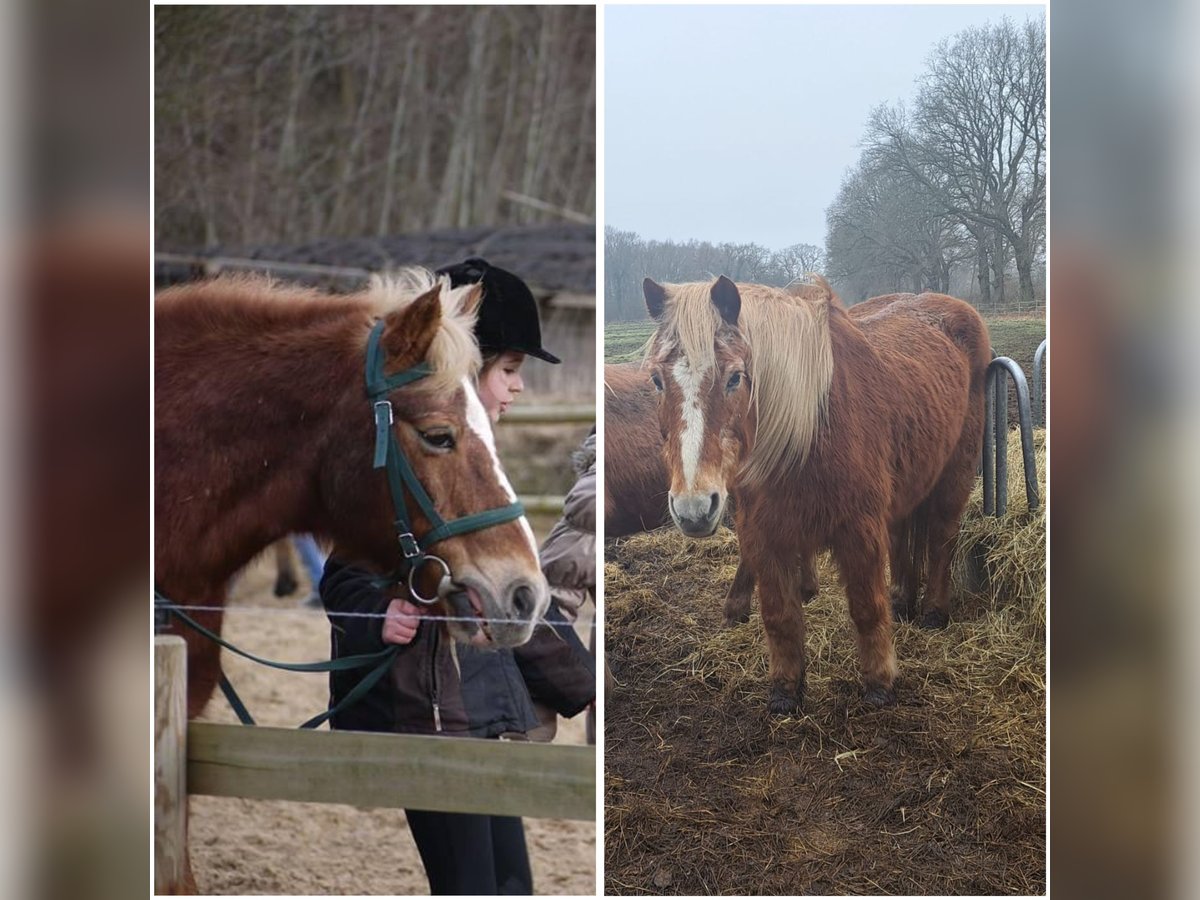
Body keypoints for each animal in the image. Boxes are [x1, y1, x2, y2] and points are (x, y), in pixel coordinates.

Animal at [643, 274, 988, 710]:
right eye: (657, 380)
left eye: (735, 377)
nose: (694, 509)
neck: (808, 431)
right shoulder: (762, 535)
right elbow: (779, 616)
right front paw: (785, 691)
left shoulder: (859, 530)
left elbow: (866, 609)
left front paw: (880, 684)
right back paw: (902, 601)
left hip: (953, 477)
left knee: (942, 538)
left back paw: (933, 613)